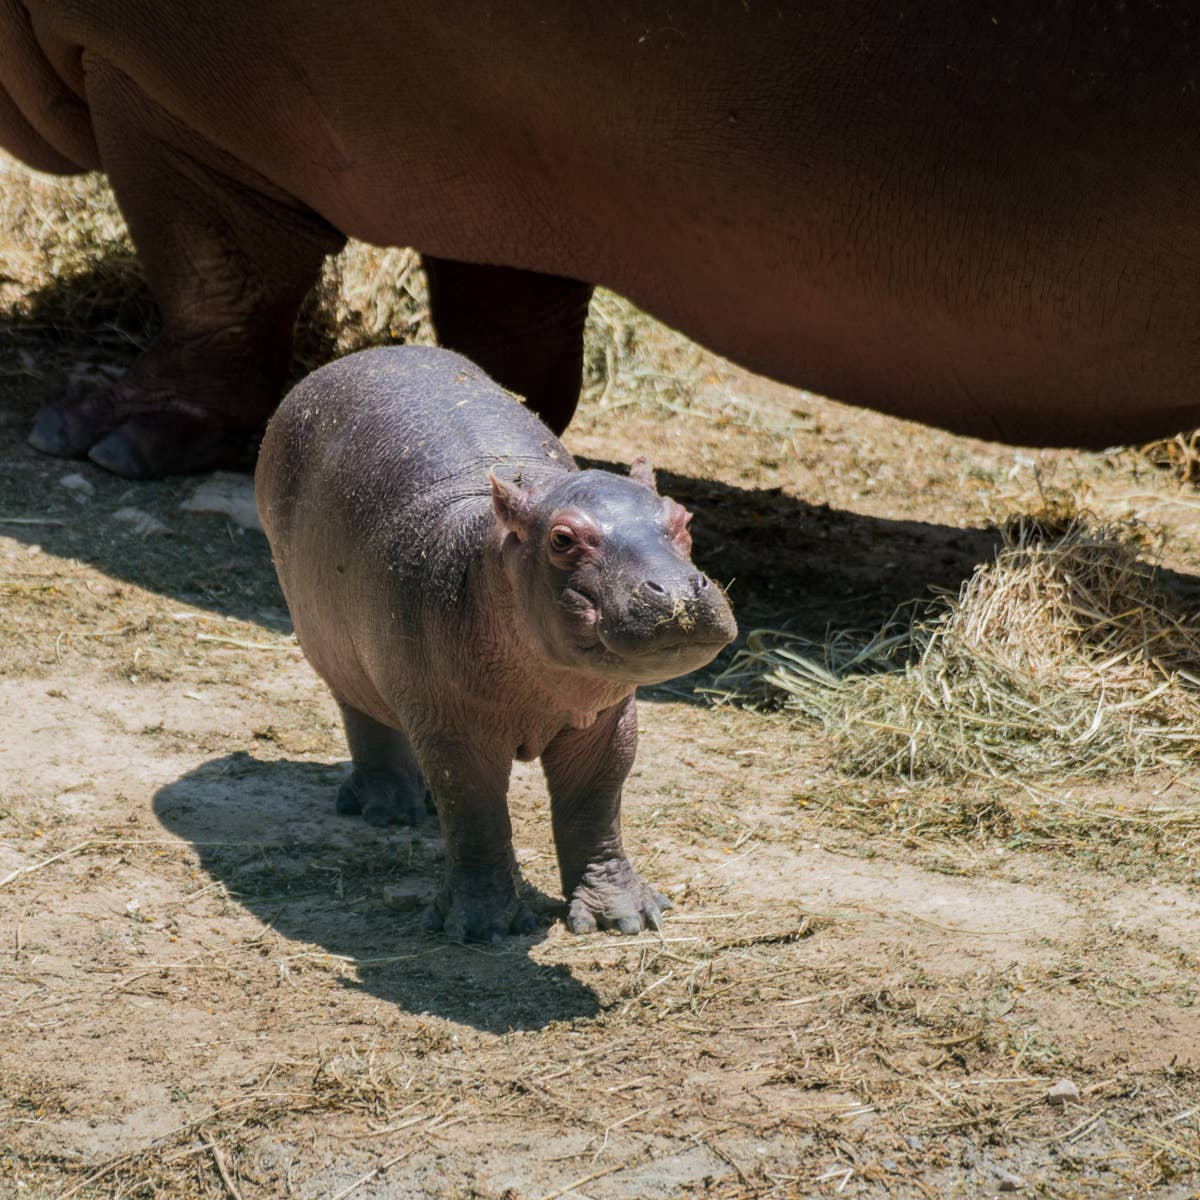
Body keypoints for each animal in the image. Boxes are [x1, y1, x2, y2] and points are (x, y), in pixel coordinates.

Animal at [4, 4, 1200, 478]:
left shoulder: (164, 85)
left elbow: (212, 273)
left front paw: (99, 434)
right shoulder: (498, 153)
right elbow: (510, 328)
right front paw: (488, 429)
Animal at [255, 345, 737, 940]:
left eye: (682, 517)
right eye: (562, 539)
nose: (676, 591)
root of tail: (357, 357)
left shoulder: (607, 720)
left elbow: (596, 802)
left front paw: (625, 916)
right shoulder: (453, 728)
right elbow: (475, 813)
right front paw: (482, 927)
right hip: (333, 648)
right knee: (364, 718)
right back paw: (390, 808)